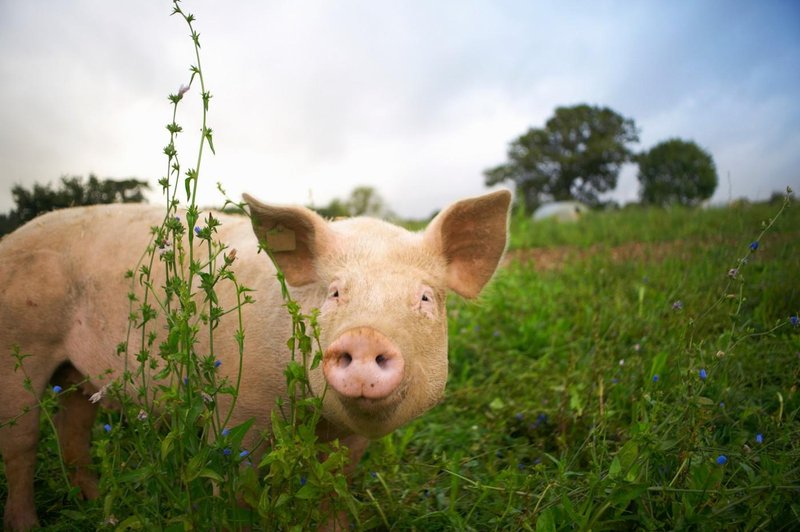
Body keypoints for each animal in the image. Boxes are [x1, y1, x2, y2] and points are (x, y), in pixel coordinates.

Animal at [0, 188, 512, 528]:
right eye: (334, 293)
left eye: (424, 298)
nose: (365, 336)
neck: (313, 420)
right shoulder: (235, 415)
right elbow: (238, 493)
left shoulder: (349, 442)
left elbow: (334, 487)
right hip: (19, 344)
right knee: (22, 443)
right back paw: (28, 524)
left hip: (75, 372)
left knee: (72, 426)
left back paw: (94, 504)